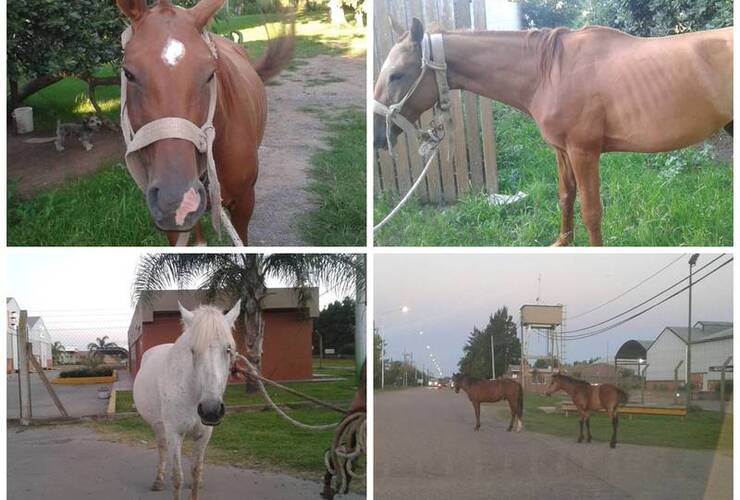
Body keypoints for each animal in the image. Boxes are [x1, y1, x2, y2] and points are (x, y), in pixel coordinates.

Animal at [132, 300, 238, 500]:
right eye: (193, 350)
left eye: (228, 349)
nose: (211, 410)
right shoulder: (174, 433)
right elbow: (177, 477)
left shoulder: (204, 434)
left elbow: (195, 471)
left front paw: (197, 483)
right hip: (158, 425)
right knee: (162, 448)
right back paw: (158, 480)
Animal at [372, 17, 732, 246]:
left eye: (397, 74)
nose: (378, 136)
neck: (549, 71)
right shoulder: (562, 150)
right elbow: (565, 197)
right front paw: (563, 242)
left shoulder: (584, 152)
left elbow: (591, 212)